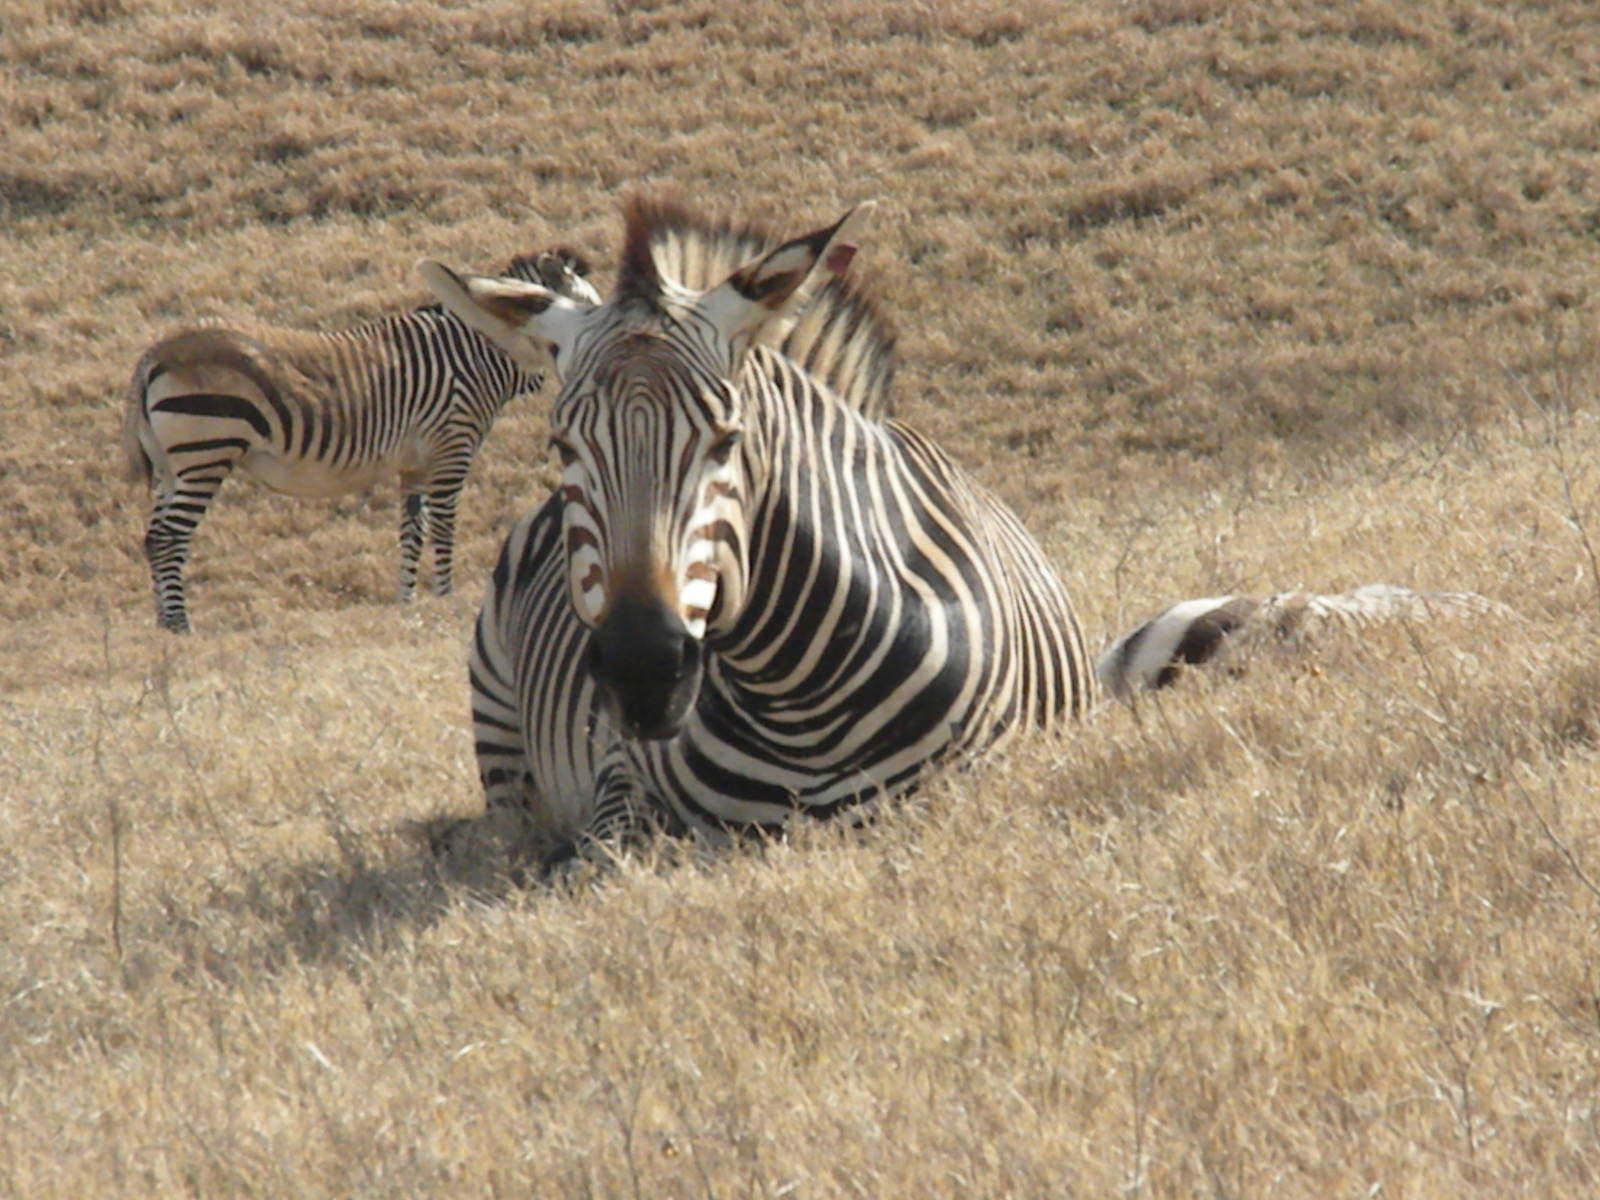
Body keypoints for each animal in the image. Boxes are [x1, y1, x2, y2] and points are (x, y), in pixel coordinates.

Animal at [122, 249, 602, 632]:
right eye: (593, 311)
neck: (479, 354)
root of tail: (155, 353)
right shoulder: (452, 446)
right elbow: (444, 526)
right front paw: (445, 596)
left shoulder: (416, 462)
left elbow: (412, 531)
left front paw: (407, 603)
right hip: (206, 452)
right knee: (169, 537)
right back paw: (180, 625)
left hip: (171, 466)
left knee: (153, 537)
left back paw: (164, 625)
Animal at [419, 196, 1096, 867]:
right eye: (562, 448)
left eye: (728, 441)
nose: (644, 675)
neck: (798, 701)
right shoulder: (620, 777)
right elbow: (600, 859)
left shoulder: (972, 787)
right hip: (497, 716)